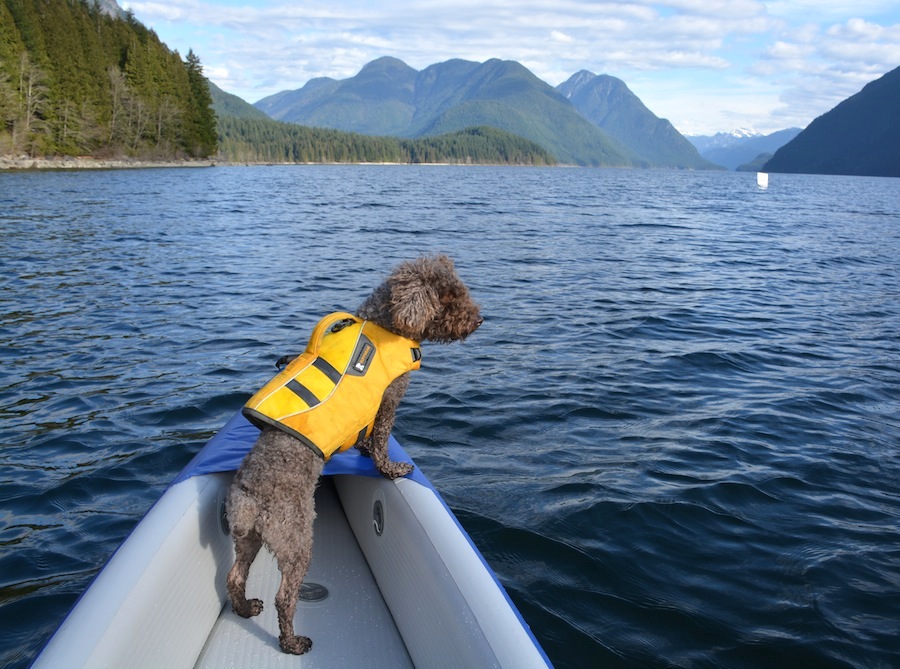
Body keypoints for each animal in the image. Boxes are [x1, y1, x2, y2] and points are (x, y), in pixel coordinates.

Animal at [224, 254, 482, 652]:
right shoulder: (390, 397)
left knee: (235, 577)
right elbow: (381, 437)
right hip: (296, 540)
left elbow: (367, 435)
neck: (384, 323)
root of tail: (249, 499)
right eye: (450, 297)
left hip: (247, 538)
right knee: (285, 597)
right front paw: (390, 468)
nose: (479, 319)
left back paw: (245, 608)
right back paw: (292, 642)